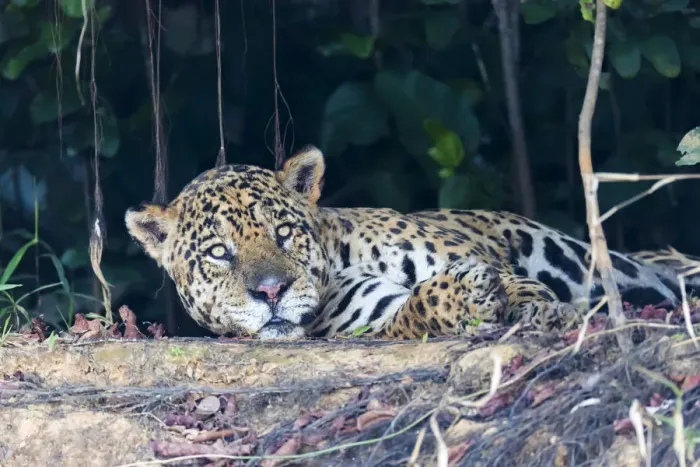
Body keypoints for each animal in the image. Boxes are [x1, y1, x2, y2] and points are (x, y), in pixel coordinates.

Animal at [124, 145, 700, 340]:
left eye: (283, 232)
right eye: (219, 253)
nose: (271, 292)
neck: (342, 259)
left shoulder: (480, 256)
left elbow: (519, 285)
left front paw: (537, 310)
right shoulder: (370, 319)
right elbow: (414, 309)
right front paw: (462, 298)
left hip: (577, 254)